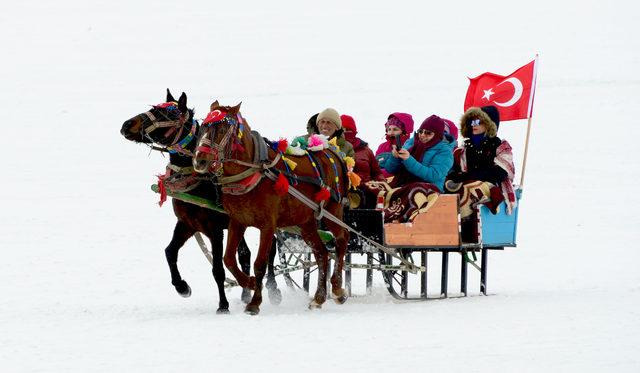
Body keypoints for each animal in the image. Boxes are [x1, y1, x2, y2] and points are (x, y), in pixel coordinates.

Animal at [120, 90, 280, 314]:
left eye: (168, 114)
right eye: (154, 108)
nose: (127, 125)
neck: (199, 180)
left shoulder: (215, 230)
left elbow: (218, 269)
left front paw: (223, 305)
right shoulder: (187, 224)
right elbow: (169, 252)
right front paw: (182, 287)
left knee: (270, 249)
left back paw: (273, 291)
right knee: (246, 254)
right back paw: (246, 293)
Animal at [192, 100, 350, 312]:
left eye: (223, 128)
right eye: (204, 127)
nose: (200, 160)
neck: (254, 172)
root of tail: (333, 151)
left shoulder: (268, 225)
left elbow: (260, 263)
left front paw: (254, 302)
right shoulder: (238, 221)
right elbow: (228, 259)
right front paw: (249, 283)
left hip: (332, 209)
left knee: (342, 240)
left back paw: (338, 289)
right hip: (306, 221)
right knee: (322, 253)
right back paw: (319, 297)